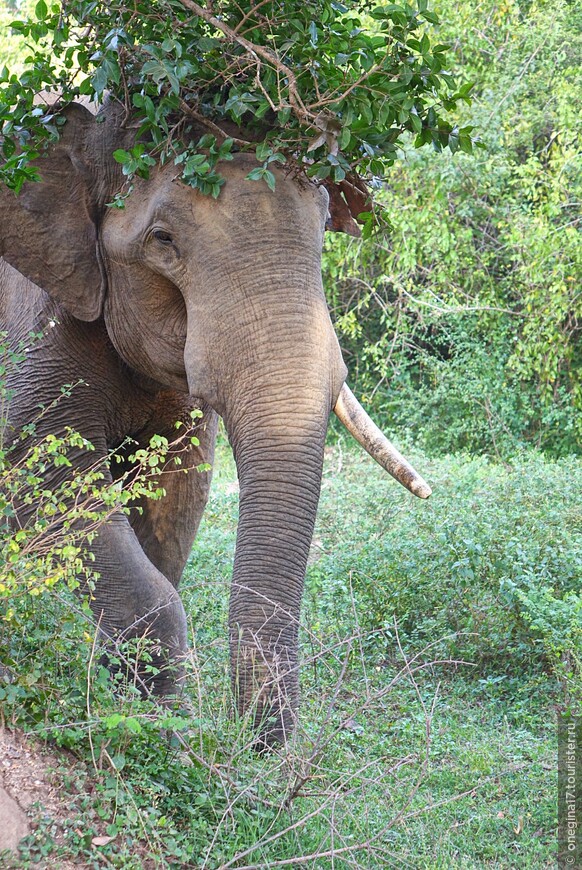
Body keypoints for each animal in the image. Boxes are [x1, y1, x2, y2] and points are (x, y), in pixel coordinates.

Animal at [0, 100, 428, 744]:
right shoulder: (37, 314)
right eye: (162, 239)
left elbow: (178, 489)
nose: (260, 746)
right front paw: (158, 721)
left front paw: (145, 705)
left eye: (326, 223)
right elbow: (40, 460)